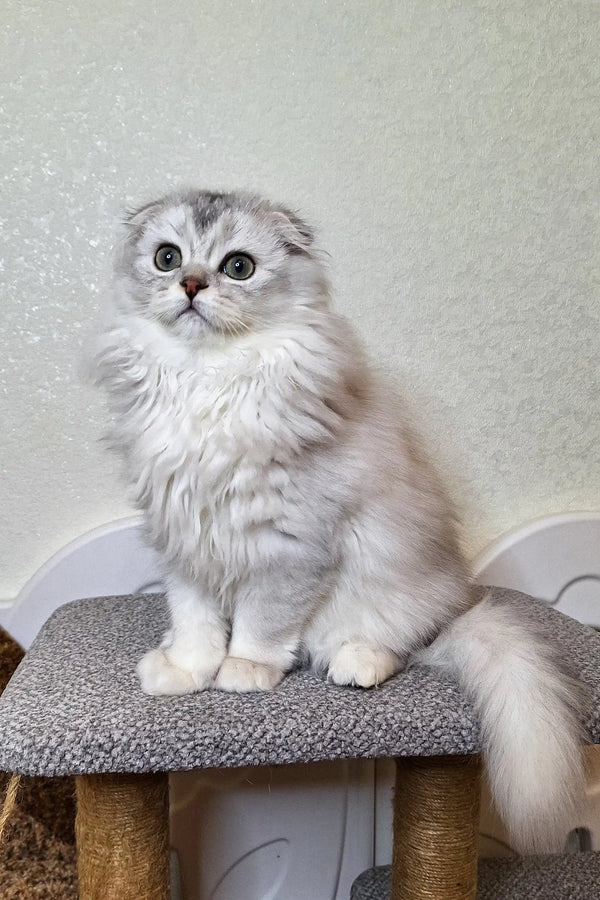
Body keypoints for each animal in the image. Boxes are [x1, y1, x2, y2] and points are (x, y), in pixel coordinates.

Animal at [91, 188, 584, 852]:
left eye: (238, 267)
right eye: (167, 258)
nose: (191, 284)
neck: (204, 381)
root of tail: (453, 610)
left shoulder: (289, 546)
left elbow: (261, 624)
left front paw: (242, 671)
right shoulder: (184, 542)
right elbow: (195, 624)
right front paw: (186, 671)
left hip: (385, 598)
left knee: (397, 648)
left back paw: (357, 665)